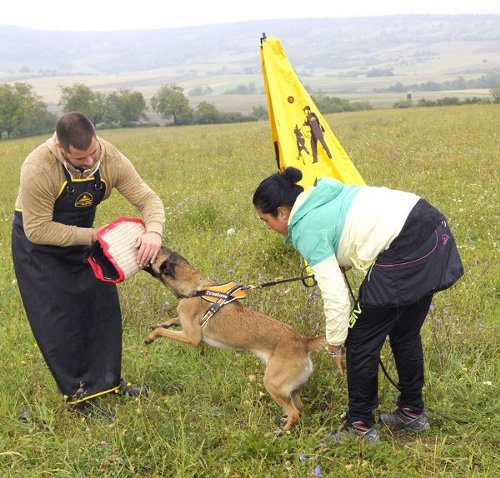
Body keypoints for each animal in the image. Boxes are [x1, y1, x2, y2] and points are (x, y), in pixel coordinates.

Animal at [143, 246, 326, 430]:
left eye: (153, 256)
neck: (195, 288)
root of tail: (304, 342)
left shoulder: (192, 337)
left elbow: (161, 331)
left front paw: (150, 337)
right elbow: (172, 321)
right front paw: (160, 324)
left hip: (273, 383)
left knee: (294, 412)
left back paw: (282, 432)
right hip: (291, 387)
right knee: (299, 407)